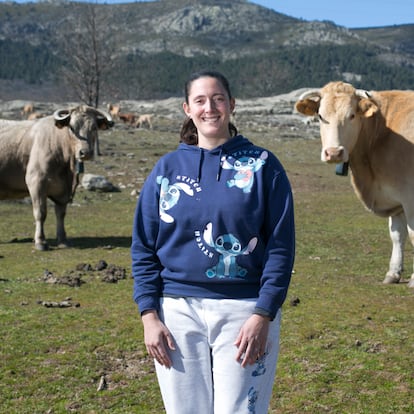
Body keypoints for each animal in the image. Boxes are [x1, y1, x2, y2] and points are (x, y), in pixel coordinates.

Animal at [0, 105, 113, 251]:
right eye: (72, 127)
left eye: (94, 127)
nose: (85, 152)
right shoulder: (36, 182)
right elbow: (40, 213)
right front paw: (40, 242)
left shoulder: (63, 189)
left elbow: (61, 213)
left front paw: (63, 240)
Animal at [296, 81, 414, 288]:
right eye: (321, 116)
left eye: (351, 115)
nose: (334, 153)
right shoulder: (396, 196)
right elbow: (397, 234)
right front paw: (393, 273)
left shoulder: (409, 196)